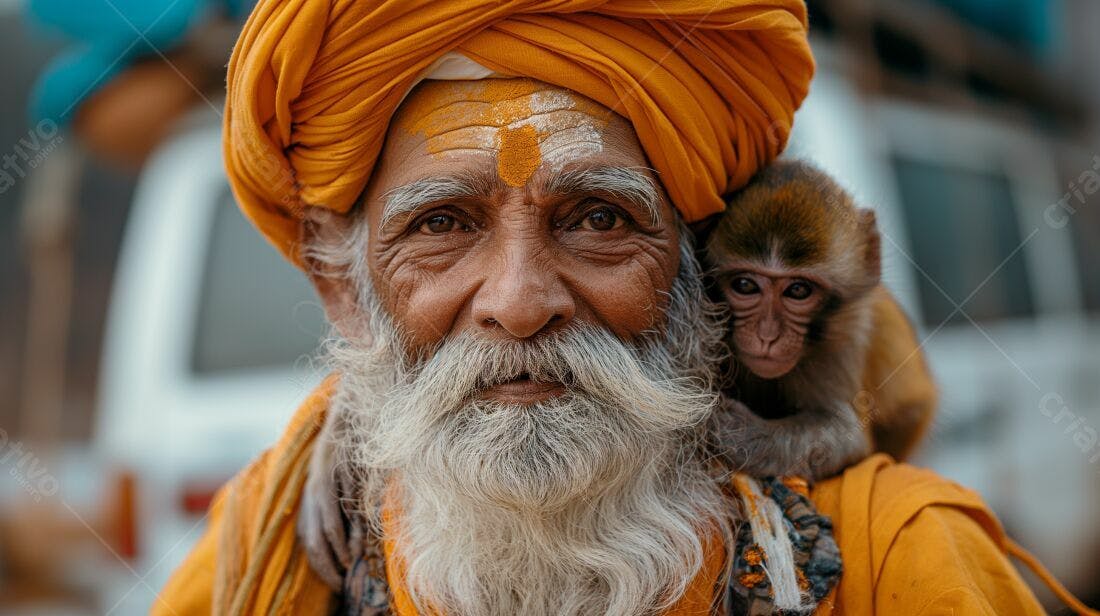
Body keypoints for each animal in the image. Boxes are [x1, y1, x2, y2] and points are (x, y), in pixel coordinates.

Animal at [702, 160, 937, 480]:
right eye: (745, 285)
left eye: (798, 290)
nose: (767, 335)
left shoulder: (845, 341)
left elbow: (847, 434)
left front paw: (738, 432)